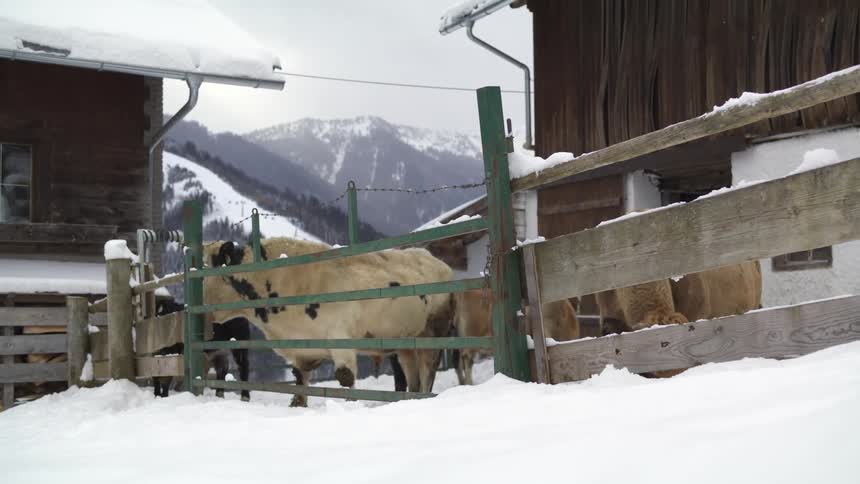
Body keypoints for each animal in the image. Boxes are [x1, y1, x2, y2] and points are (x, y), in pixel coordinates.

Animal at [202, 237, 455, 406]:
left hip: (433, 332)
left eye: (206, 273)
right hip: (406, 341)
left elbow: (345, 378)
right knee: (411, 373)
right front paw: (297, 404)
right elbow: (300, 378)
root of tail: (434, 260)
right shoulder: (301, 347)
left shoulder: (340, 337)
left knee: (428, 370)